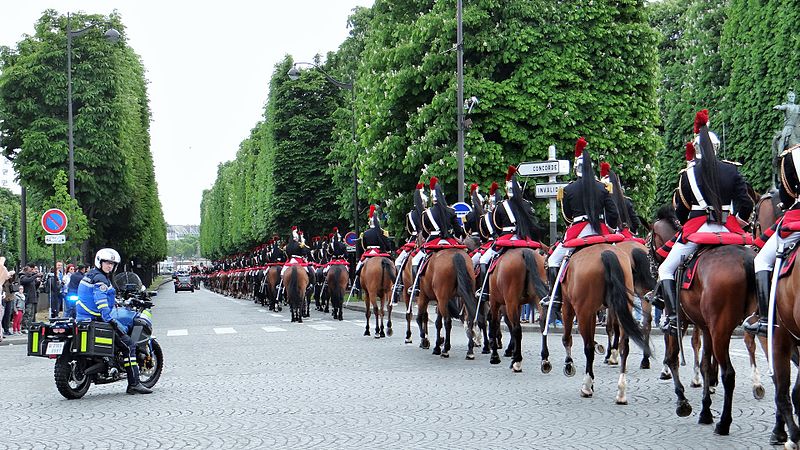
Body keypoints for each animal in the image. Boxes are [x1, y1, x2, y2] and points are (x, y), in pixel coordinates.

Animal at [536, 246, 648, 404]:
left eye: (546, 266)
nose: (548, 291)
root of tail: (606, 253)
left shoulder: (569, 308)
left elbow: (567, 338)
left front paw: (568, 364)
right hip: (621, 308)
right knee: (624, 347)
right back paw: (621, 391)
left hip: (583, 311)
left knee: (588, 347)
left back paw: (587, 386)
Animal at [648, 211, 756, 436]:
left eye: (649, 240)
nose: (652, 268)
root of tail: (745, 260)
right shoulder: (706, 328)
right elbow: (705, 364)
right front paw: (705, 411)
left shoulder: (679, 323)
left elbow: (672, 358)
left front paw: (682, 401)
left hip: (721, 331)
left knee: (729, 373)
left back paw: (724, 423)